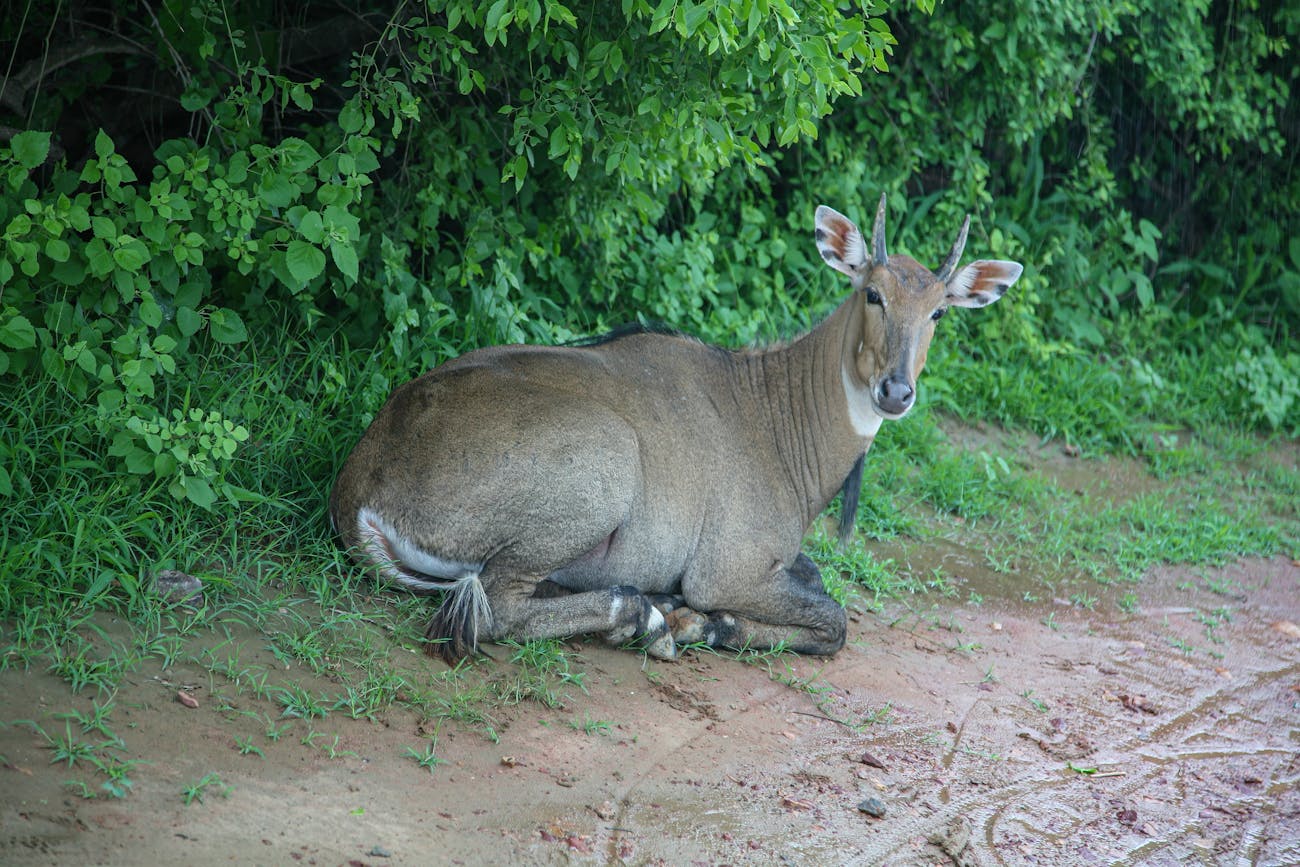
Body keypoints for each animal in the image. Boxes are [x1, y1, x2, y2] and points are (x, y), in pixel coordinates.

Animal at [330, 193, 1019, 660]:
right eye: (873, 294)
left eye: (938, 312)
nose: (895, 390)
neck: (774, 413)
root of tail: (358, 487)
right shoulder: (728, 569)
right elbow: (834, 620)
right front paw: (698, 622)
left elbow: (818, 581)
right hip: (603, 468)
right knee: (498, 608)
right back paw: (649, 618)